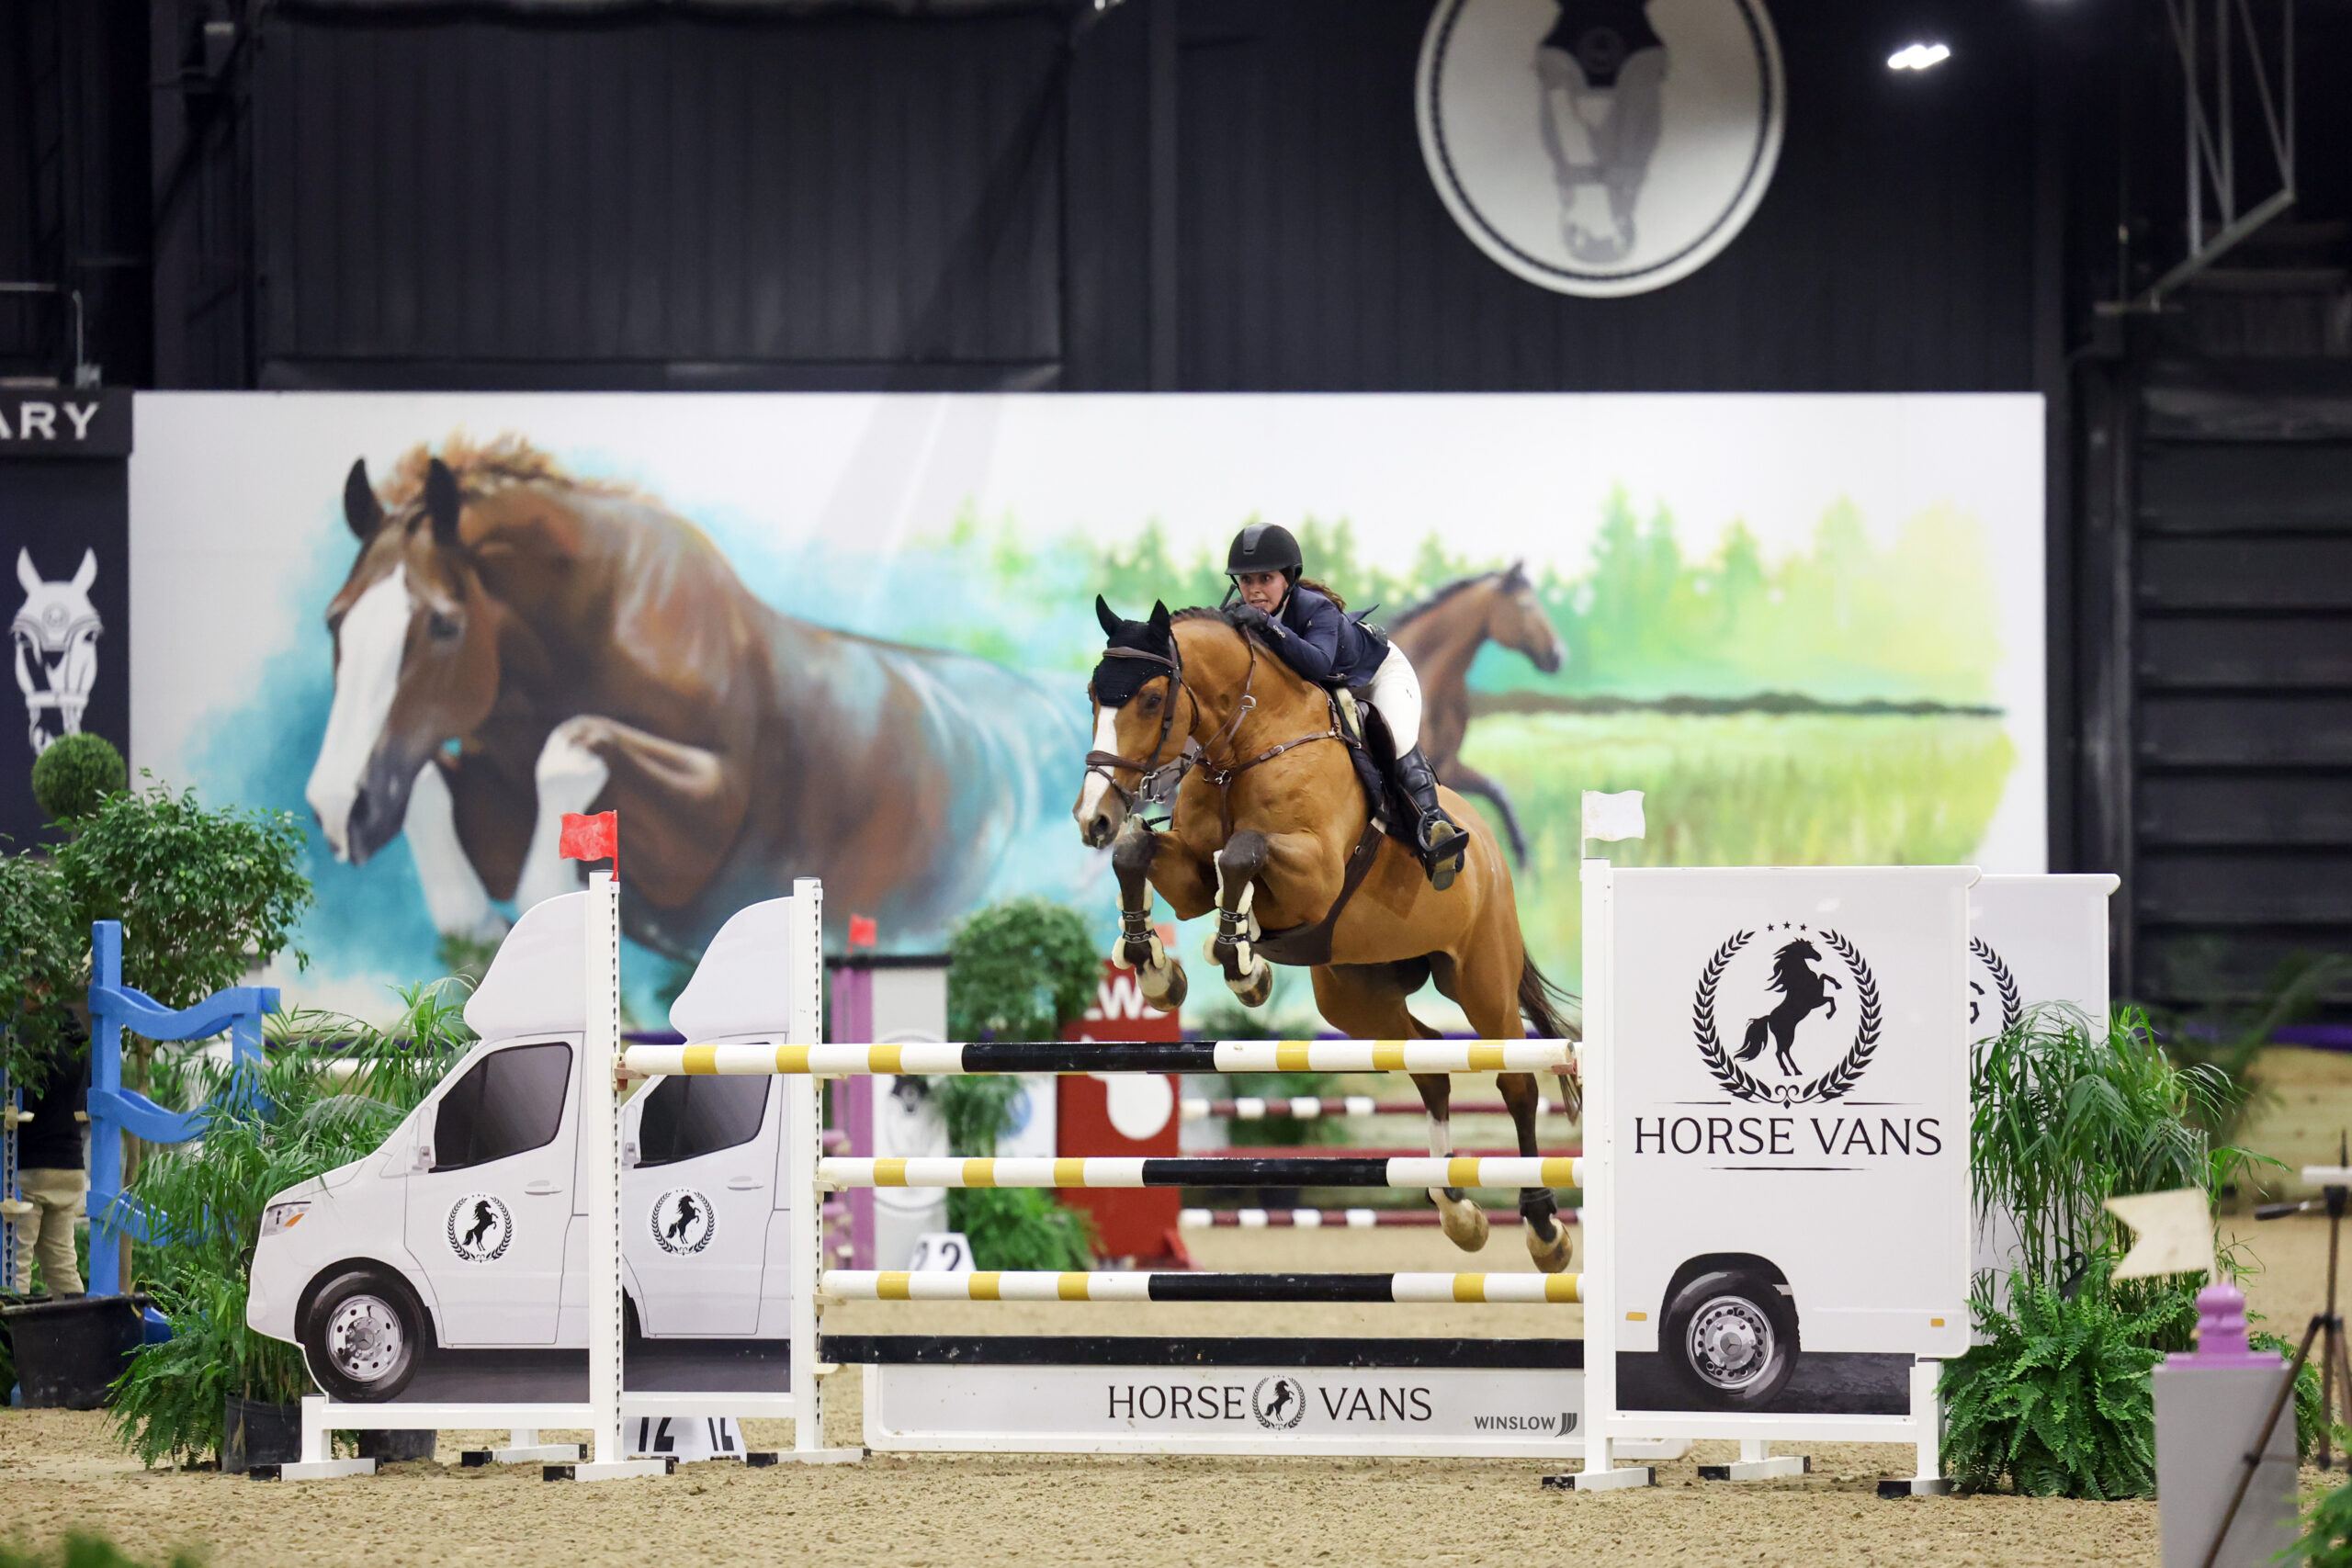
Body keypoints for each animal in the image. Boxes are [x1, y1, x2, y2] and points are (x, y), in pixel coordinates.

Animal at [303, 435, 1073, 957]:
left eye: (444, 623)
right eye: (334, 620)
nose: (340, 812)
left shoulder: (699, 827)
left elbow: (572, 750)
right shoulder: (494, 804)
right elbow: (434, 789)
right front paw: (479, 922)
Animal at [1072, 598, 1580, 1273]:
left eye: (1152, 699)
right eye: (1093, 695)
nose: (1093, 818)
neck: (1245, 746)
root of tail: (1489, 850)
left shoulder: (1313, 876)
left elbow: (1244, 849)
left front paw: (1243, 963)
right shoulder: (1191, 879)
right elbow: (1141, 852)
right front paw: (1158, 971)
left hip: (1481, 980)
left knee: (1515, 1081)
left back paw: (1544, 1227)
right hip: (1354, 995)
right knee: (1430, 1067)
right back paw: (1457, 1210)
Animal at [1735, 939, 1841, 1077]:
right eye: (1806, 948)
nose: (1819, 957)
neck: (1798, 978)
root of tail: (1769, 1019)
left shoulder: (1817, 997)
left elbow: (1825, 977)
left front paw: (1838, 986)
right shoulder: (1816, 1001)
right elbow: (1830, 996)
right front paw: (1829, 1013)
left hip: (1786, 1035)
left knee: (1784, 1051)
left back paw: (1795, 1071)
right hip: (1786, 1035)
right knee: (1780, 1052)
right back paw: (1789, 1071)